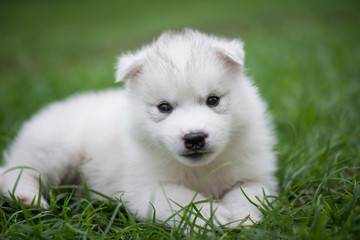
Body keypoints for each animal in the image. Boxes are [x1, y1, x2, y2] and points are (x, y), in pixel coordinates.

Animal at [0, 29, 278, 228]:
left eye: (213, 100)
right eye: (164, 107)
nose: (194, 138)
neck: (200, 169)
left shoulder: (255, 174)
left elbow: (248, 193)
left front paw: (241, 217)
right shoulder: (147, 188)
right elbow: (182, 199)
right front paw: (210, 216)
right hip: (53, 146)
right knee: (17, 171)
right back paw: (27, 198)